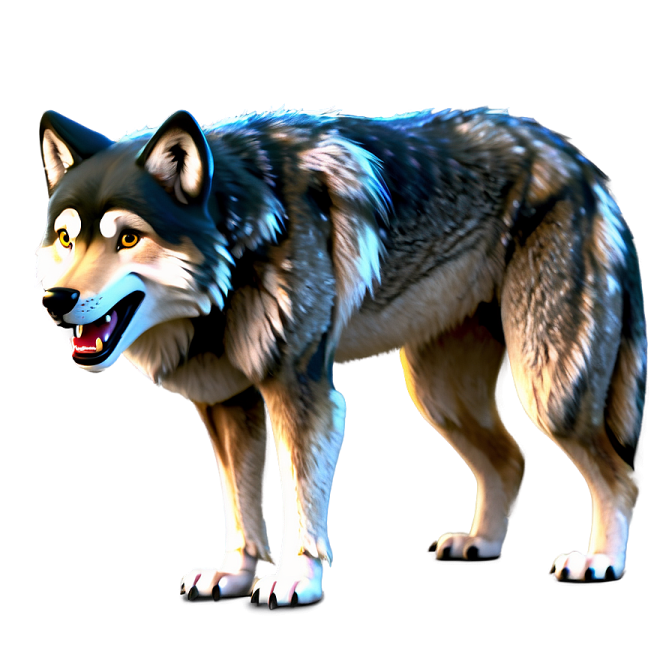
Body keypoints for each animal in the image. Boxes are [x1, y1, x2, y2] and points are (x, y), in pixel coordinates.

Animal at [36, 106, 647, 608]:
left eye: (128, 239)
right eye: (67, 239)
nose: (55, 299)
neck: (243, 240)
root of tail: (584, 167)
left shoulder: (303, 394)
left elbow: (300, 501)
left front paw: (293, 581)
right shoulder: (228, 403)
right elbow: (239, 506)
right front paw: (232, 576)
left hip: (547, 391)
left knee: (619, 475)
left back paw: (600, 562)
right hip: (439, 397)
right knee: (512, 459)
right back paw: (480, 543)